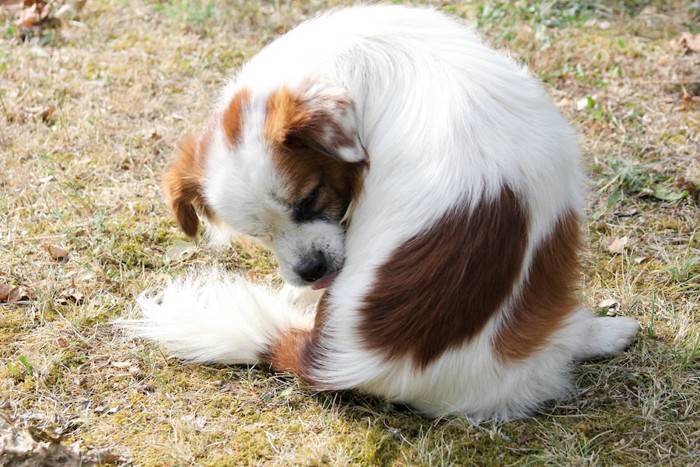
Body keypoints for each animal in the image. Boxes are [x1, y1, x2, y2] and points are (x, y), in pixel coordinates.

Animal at [120, 4, 640, 420]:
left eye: (311, 199)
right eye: (260, 234)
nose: (310, 272)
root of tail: (330, 359)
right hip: (542, 338)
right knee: (568, 338)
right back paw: (609, 332)